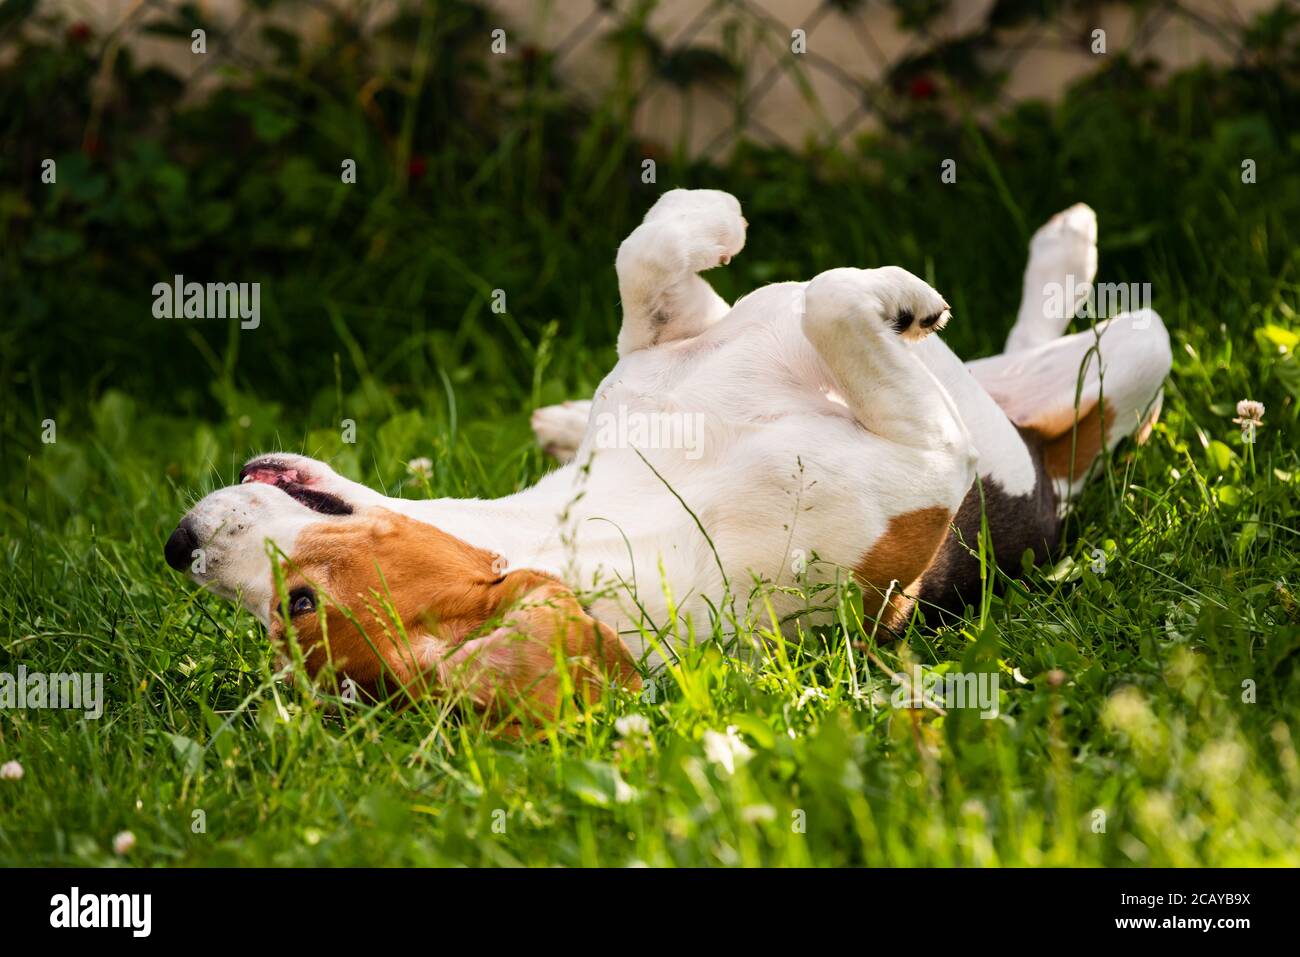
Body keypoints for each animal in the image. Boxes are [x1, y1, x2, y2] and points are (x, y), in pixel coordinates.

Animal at [162, 188, 1170, 722]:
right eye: (289, 609)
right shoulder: (925, 465)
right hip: (1122, 361)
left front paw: (707, 216)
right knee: (1103, 366)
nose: (180, 546)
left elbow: (648, 256)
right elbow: (830, 302)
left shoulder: (669, 345)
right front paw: (892, 298)